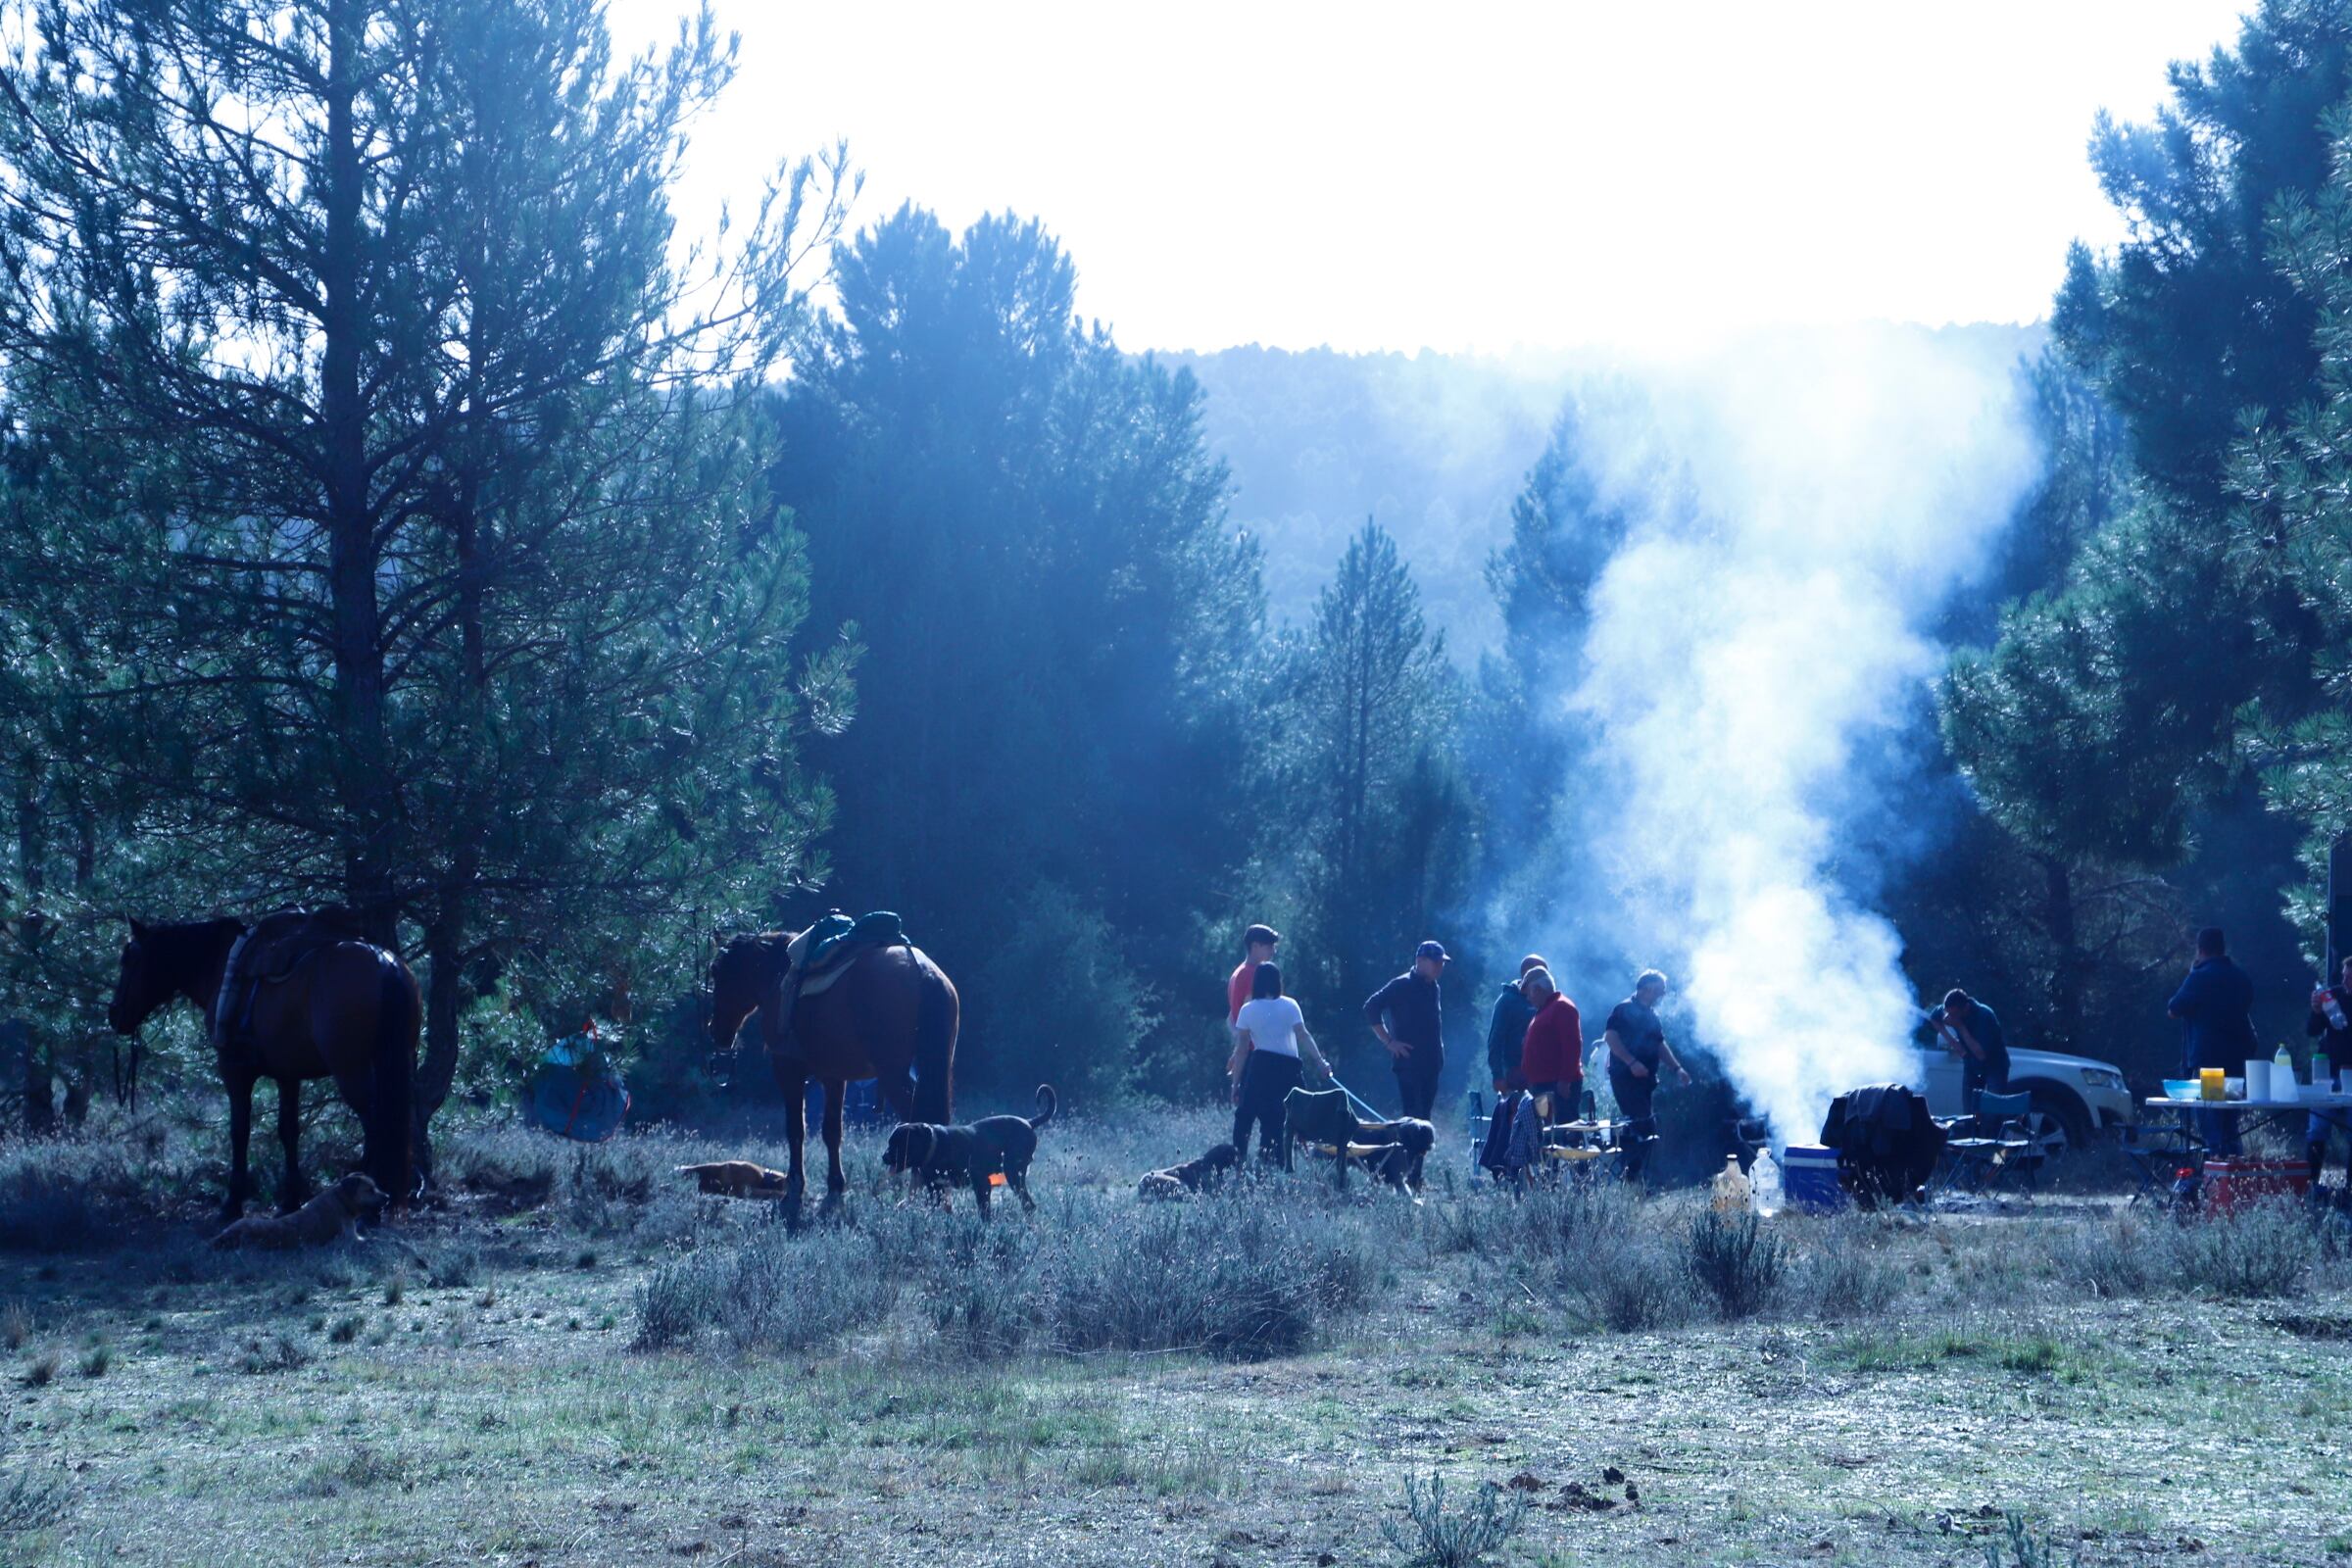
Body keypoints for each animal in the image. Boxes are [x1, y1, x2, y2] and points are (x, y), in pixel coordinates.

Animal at [104, 911, 418, 1222]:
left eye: (128, 959)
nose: (114, 1014)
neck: (220, 965)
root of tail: (382, 963)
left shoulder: (234, 1071)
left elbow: (240, 1130)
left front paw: (232, 1204)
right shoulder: (288, 1075)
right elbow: (288, 1131)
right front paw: (290, 1201)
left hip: (350, 1069)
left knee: (375, 1123)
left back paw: (369, 1203)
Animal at [212, 1170, 385, 1259]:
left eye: (376, 1187)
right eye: (369, 1190)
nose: (388, 1197)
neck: (341, 1200)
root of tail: (226, 1236)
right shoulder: (349, 1241)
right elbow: (372, 1240)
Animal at [706, 940, 955, 1212]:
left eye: (717, 972)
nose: (716, 1031)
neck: (779, 976)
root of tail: (922, 970)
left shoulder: (788, 1071)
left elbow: (796, 1129)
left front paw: (795, 1187)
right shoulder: (834, 1077)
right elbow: (832, 1132)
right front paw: (835, 1186)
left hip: (893, 1075)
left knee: (920, 1120)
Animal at [884, 1086, 1062, 1222]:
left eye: (899, 1144)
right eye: (889, 1142)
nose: (883, 1157)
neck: (935, 1147)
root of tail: (1029, 1122)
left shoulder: (982, 1183)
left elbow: (984, 1210)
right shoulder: (935, 1188)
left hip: (1013, 1173)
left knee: (1028, 1204)